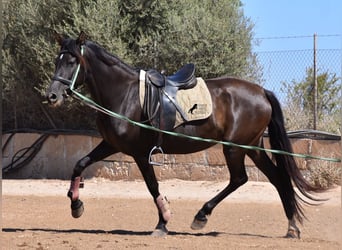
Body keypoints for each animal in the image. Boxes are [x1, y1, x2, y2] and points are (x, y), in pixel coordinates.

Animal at [46, 31, 320, 238]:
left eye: (72, 62)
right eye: (57, 60)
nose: (52, 96)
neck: (125, 94)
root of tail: (262, 91)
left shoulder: (139, 153)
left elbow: (153, 186)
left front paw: (163, 222)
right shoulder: (111, 145)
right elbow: (79, 164)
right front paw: (76, 204)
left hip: (235, 147)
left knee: (239, 179)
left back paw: (201, 216)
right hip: (252, 147)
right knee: (277, 178)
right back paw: (291, 227)